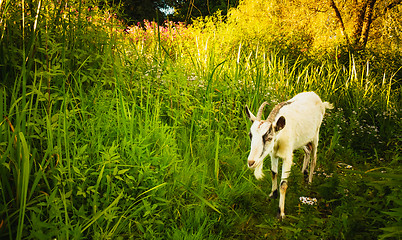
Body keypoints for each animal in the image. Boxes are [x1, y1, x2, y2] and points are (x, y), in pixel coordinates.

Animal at [245, 91, 332, 219]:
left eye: (269, 138)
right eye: (250, 135)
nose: (251, 162)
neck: (280, 135)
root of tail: (316, 96)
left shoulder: (287, 157)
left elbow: (283, 184)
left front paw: (280, 214)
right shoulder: (273, 154)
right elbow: (273, 173)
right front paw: (272, 195)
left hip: (315, 135)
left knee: (314, 158)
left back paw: (309, 183)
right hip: (302, 141)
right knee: (307, 150)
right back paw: (303, 173)